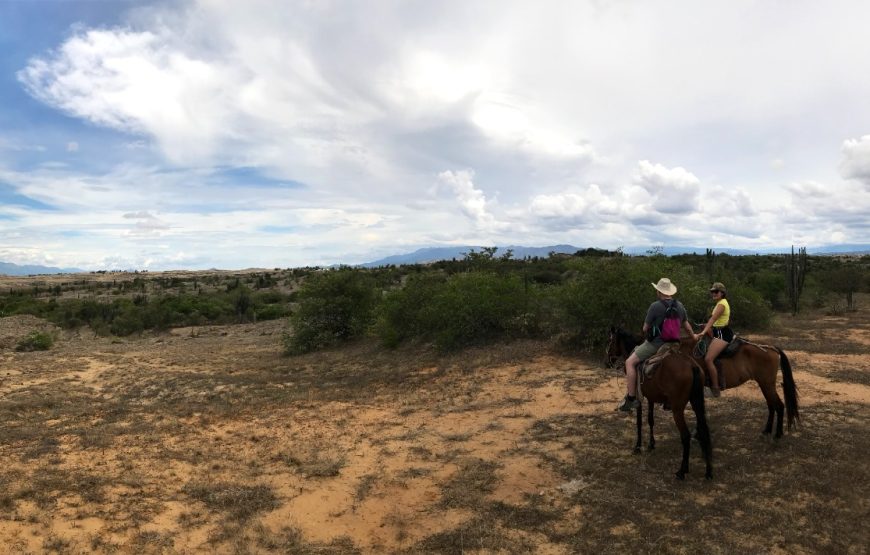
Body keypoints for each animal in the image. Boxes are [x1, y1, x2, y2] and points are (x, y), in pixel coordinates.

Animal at [608, 330, 716, 482]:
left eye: (610, 341)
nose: (607, 361)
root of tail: (691, 365)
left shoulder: (639, 398)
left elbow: (639, 422)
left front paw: (638, 446)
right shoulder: (651, 397)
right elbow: (650, 420)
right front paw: (651, 444)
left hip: (677, 409)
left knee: (686, 436)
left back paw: (682, 471)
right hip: (697, 403)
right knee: (703, 430)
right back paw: (708, 471)